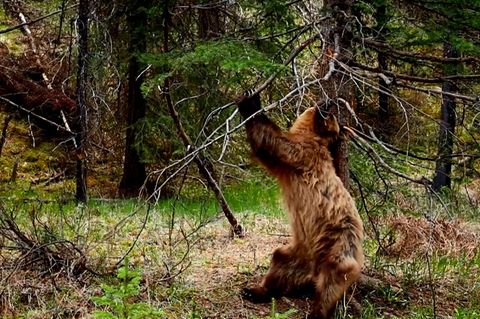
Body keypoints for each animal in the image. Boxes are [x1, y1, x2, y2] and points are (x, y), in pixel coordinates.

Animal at [236, 93, 364, 319]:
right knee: (279, 262)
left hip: (339, 244)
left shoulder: (300, 154)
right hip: (297, 250)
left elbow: (271, 143)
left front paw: (250, 102)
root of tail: (313, 268)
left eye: (330, 113)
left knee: (332, 281)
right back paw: (255, 290)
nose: (328, 101)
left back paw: (318, 311)